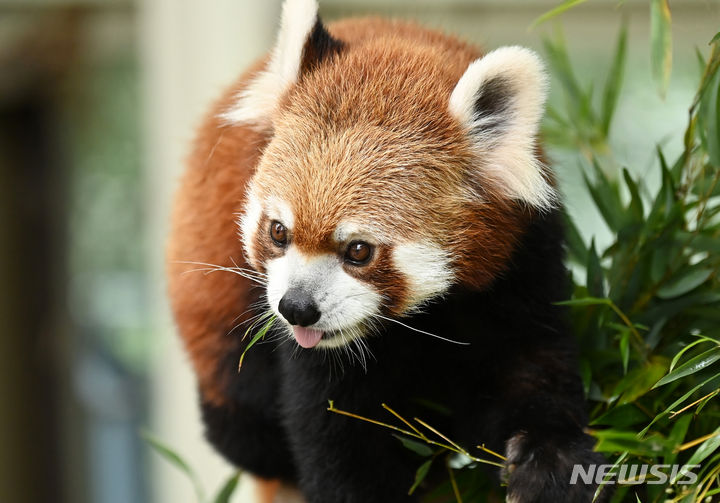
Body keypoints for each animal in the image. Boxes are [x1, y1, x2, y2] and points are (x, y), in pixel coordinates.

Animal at [167, 0, 608, 503]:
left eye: (359, 250)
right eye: (278, 232)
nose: (296, 308)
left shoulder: (520, 261)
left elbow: (532, 364)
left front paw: (551, 465)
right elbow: (335, 435)